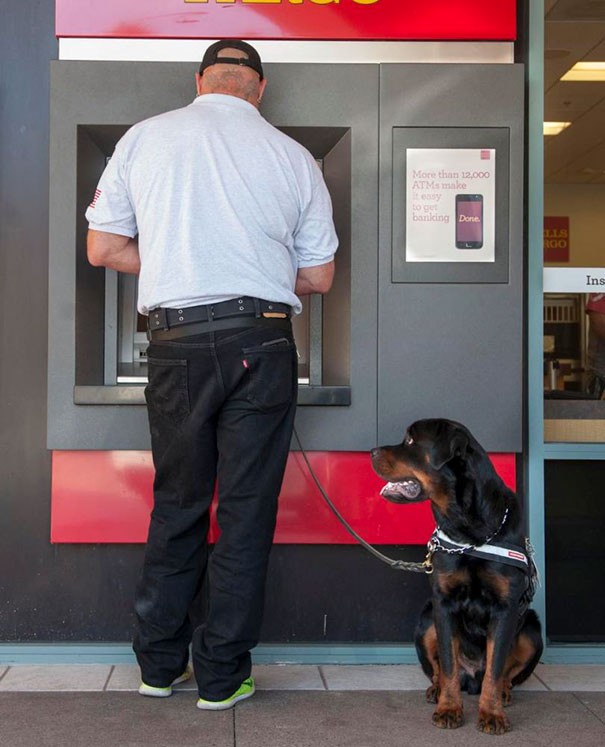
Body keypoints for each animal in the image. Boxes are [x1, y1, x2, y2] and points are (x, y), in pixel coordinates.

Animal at [370, 420, 540, 736]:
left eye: (410, 441)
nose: (372, 451)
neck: (468, 532)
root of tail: (471, 678)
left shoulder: (506, 606)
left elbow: (496, 667)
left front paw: (492, 713)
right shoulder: (444, 602)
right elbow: (448, 664)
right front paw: (448, 708)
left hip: (534, 630)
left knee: (504, 673)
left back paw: (504, 693)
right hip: (426, 618)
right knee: (439, 669)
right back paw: (437, 691)